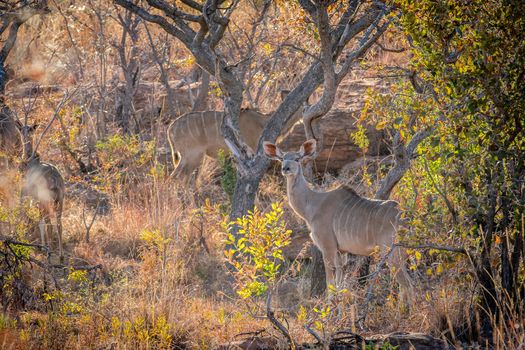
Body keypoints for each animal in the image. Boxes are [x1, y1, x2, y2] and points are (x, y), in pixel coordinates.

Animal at [264, 139, 412, 300]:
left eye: (297, 158)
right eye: (281, 158)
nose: (285, 168)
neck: (312, 204)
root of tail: (404, 218)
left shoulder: (327, 247)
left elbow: (330, 283)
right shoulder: (341, 251)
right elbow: (340, 283)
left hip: (391, 252)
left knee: (409, 285)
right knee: (405, 286)